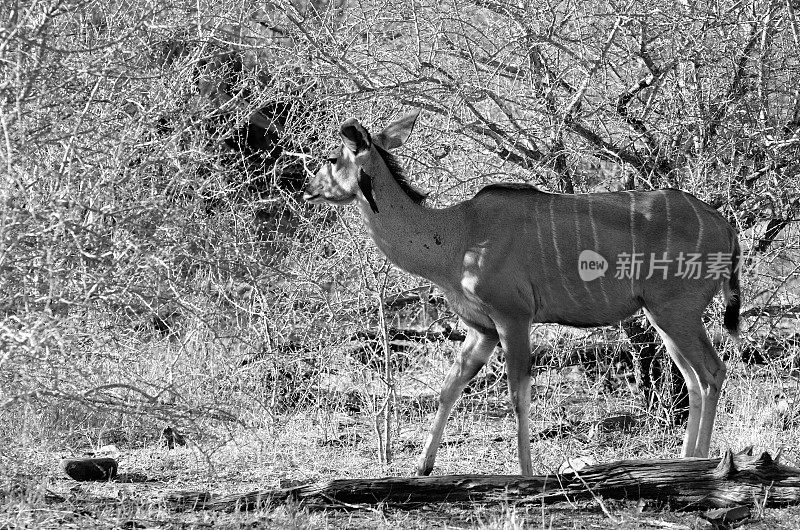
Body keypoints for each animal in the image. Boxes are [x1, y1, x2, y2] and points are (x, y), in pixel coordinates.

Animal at [304, 111, 740, 474]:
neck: (455, 235)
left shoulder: (512, 317)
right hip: (662, 317)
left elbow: (518, 395)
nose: (309, 189)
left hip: (675, 312)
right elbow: (449, 388)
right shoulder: (482, 329)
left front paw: (526, 473)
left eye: (332, 158)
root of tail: (725, 227)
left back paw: (702, 463)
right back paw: (685, 461)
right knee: (693, 379)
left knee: (712, 372)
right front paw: (422, 467)